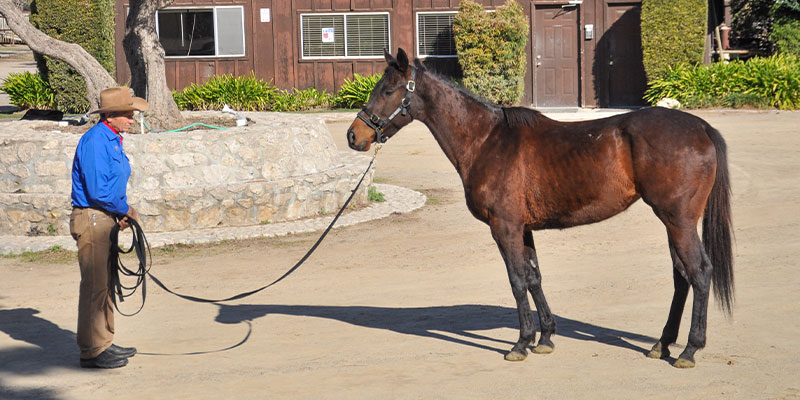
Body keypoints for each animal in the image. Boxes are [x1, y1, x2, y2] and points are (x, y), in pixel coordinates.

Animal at [346, 49, 736, 368]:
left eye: (387, 90)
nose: (354, 136)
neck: (486, 140)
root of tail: (701, 126)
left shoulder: (504, 227)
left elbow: (517, 280)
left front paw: (521, 343)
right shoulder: (523, 228)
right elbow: (534, 277)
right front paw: (546, 336)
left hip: (678, 220)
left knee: (699, 272)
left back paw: (689, 350)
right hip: (673, 222)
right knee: (681, 277)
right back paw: (663, 344)